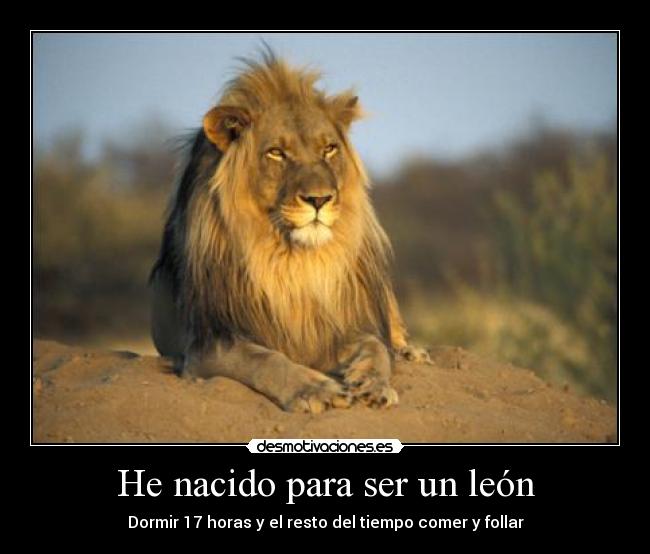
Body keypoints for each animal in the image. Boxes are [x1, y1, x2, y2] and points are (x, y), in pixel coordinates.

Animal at [150, 51, 428, 413]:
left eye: (329, 149)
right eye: (276, 153)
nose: (320, 199)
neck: (291, 262)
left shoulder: (336, 325)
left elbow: (375, 346)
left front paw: (373, 383)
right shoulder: (207, 343)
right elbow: (263, 359)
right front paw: (316, 389)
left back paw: (411, 351)